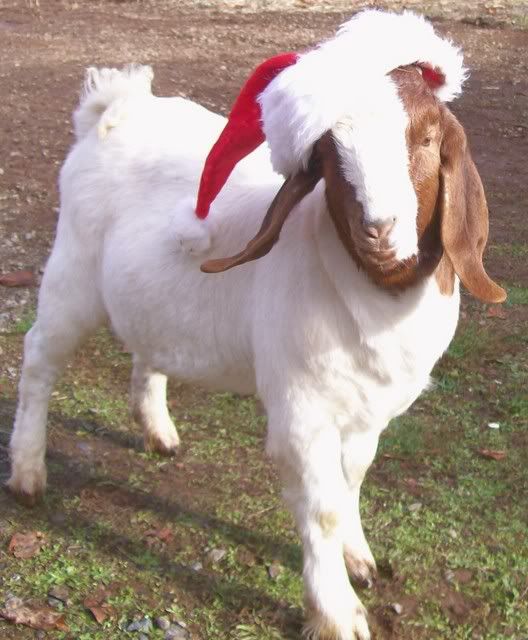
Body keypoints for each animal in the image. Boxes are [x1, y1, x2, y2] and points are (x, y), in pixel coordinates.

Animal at [8, 10, 505, 640]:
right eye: (329, 151)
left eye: (427, 137)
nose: (379, 228)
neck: (373, 294)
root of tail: (114, 109)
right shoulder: (302, 405)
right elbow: (321, 506)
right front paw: (336, 611)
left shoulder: (371, 409)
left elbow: (353, 478)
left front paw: (359, 558)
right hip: (71, 273)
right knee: (39, 359)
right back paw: (27, 472)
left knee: (145, 346)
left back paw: (158, 432)